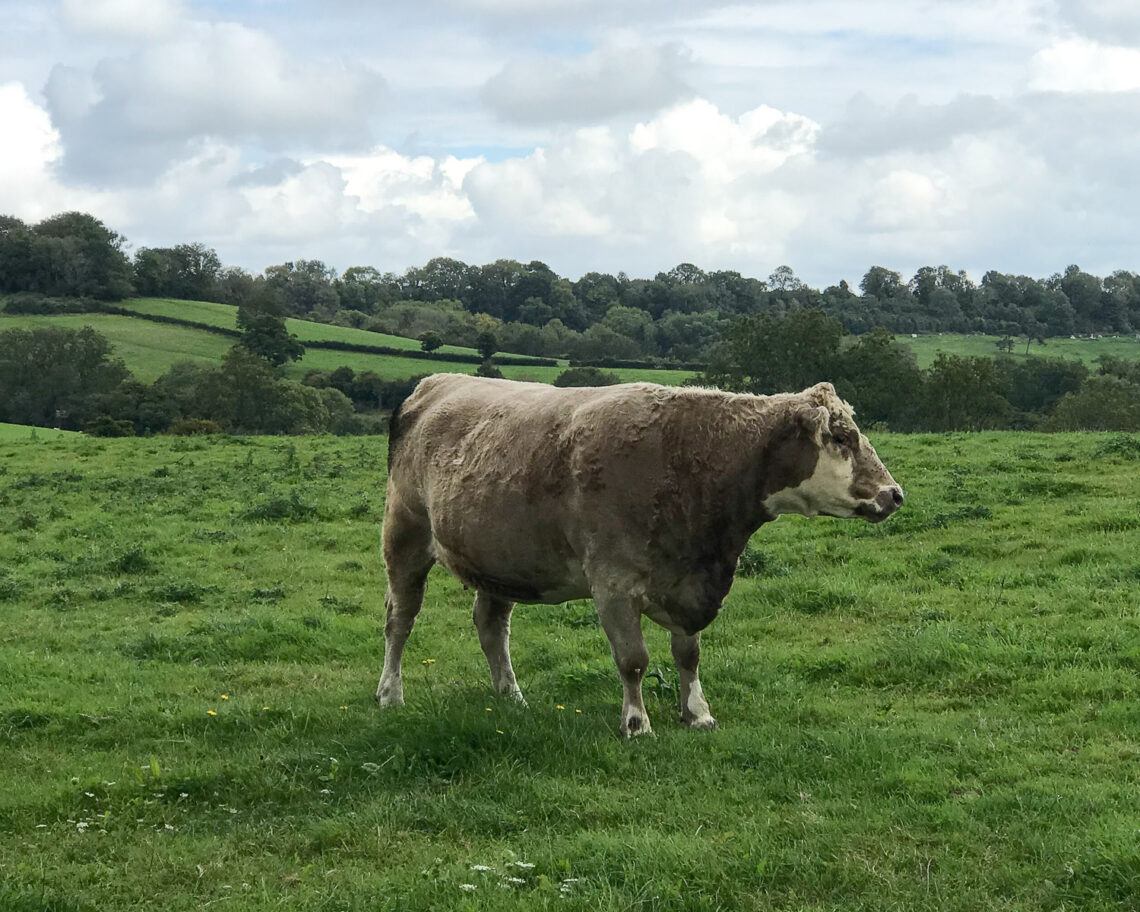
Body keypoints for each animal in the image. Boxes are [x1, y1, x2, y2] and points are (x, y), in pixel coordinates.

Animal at [378, 373, 902, 738]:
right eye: (841, 437)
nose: (894, 494)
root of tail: (435, 383)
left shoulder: (688, 583)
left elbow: (688, 654)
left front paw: (698, 713)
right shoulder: (613, 582)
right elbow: (633, 659)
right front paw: (636, 723)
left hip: (500, 559)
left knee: (491, 628)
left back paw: (511, 697)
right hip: (405, 536)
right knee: (399, 620)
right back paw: (390, 695)